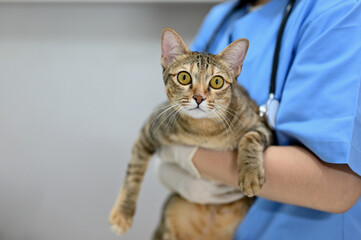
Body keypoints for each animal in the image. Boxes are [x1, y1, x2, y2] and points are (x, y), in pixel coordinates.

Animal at [108, 28, 272, 240]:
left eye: (217, 81)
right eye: (184, 77)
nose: (199, 97)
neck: (204, 132)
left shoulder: (262, 126)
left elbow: (250, 138)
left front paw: (250, 175)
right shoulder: (149, 130)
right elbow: (133, 174)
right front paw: (123, 213)